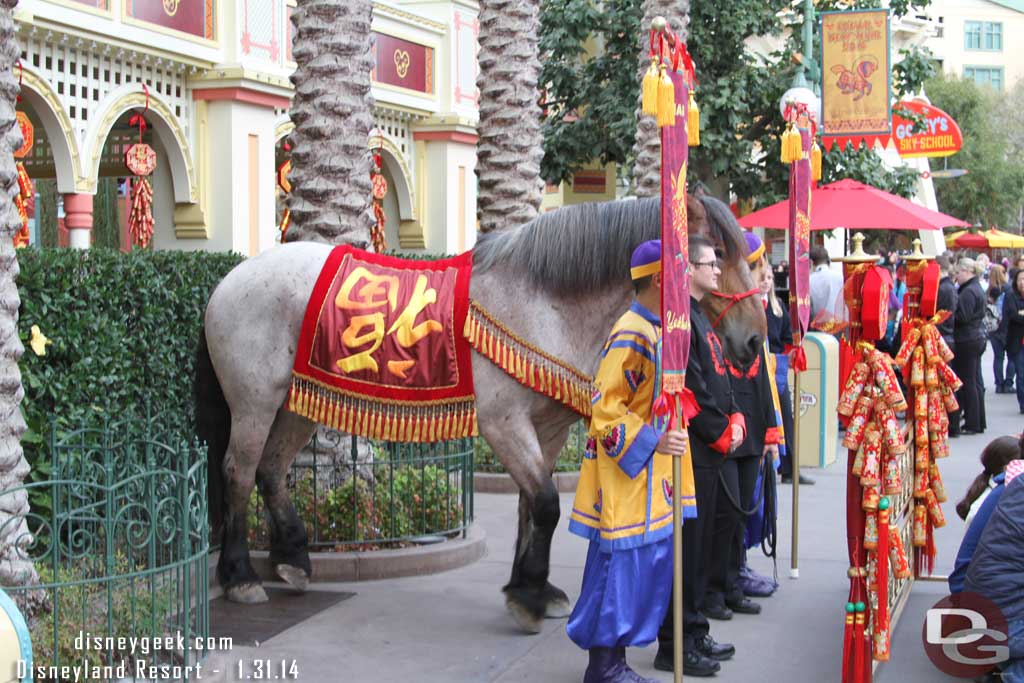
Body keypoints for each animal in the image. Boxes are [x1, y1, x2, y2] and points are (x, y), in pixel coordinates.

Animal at [195, 192, 765, 634]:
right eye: (717, 254)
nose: (755, 340)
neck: (544, 300)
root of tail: (229, 279)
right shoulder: (503, 423)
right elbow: (545, 504)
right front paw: (528, 596)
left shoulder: (546, 428)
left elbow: (530, 506)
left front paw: (532, 585)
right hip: (254, 402)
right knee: (239, 472)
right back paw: (241, 576)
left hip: (300, 400)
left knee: (271, 470)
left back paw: (292, 559)